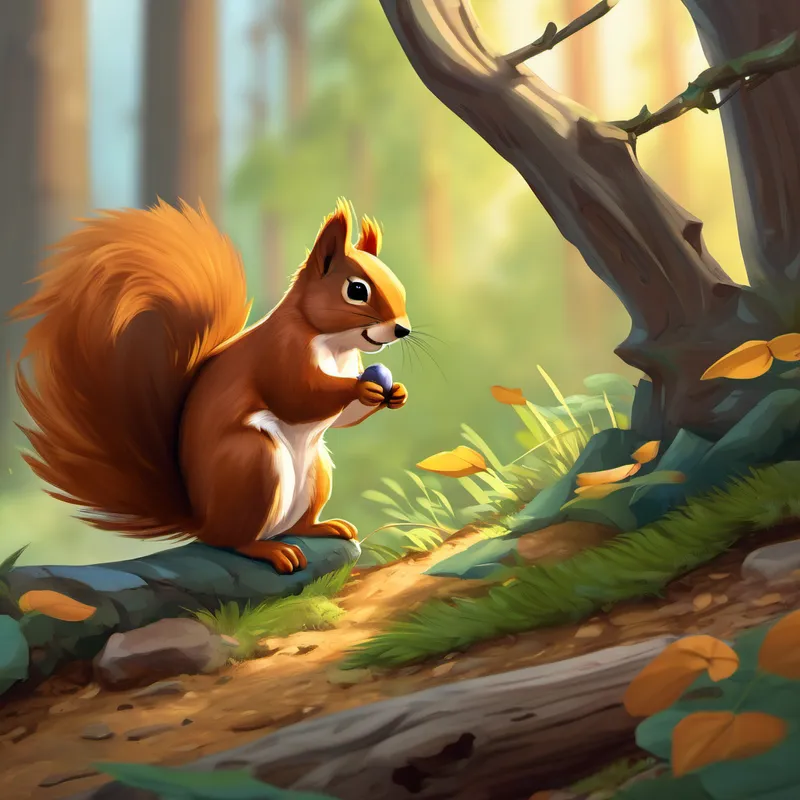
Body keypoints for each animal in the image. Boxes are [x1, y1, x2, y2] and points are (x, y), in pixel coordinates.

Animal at [11, 198, 411, 574]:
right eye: (356, 290)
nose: (402, 329)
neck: (335, 344)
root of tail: (202, 521)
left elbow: (344, 419)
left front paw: (395, 394)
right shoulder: (280, 353)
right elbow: (296, 396)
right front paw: (361, 390)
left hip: (317, 471)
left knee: (292, 526)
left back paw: (323, 527)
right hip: (252, 464)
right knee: (234, 540)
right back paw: (270, 551)